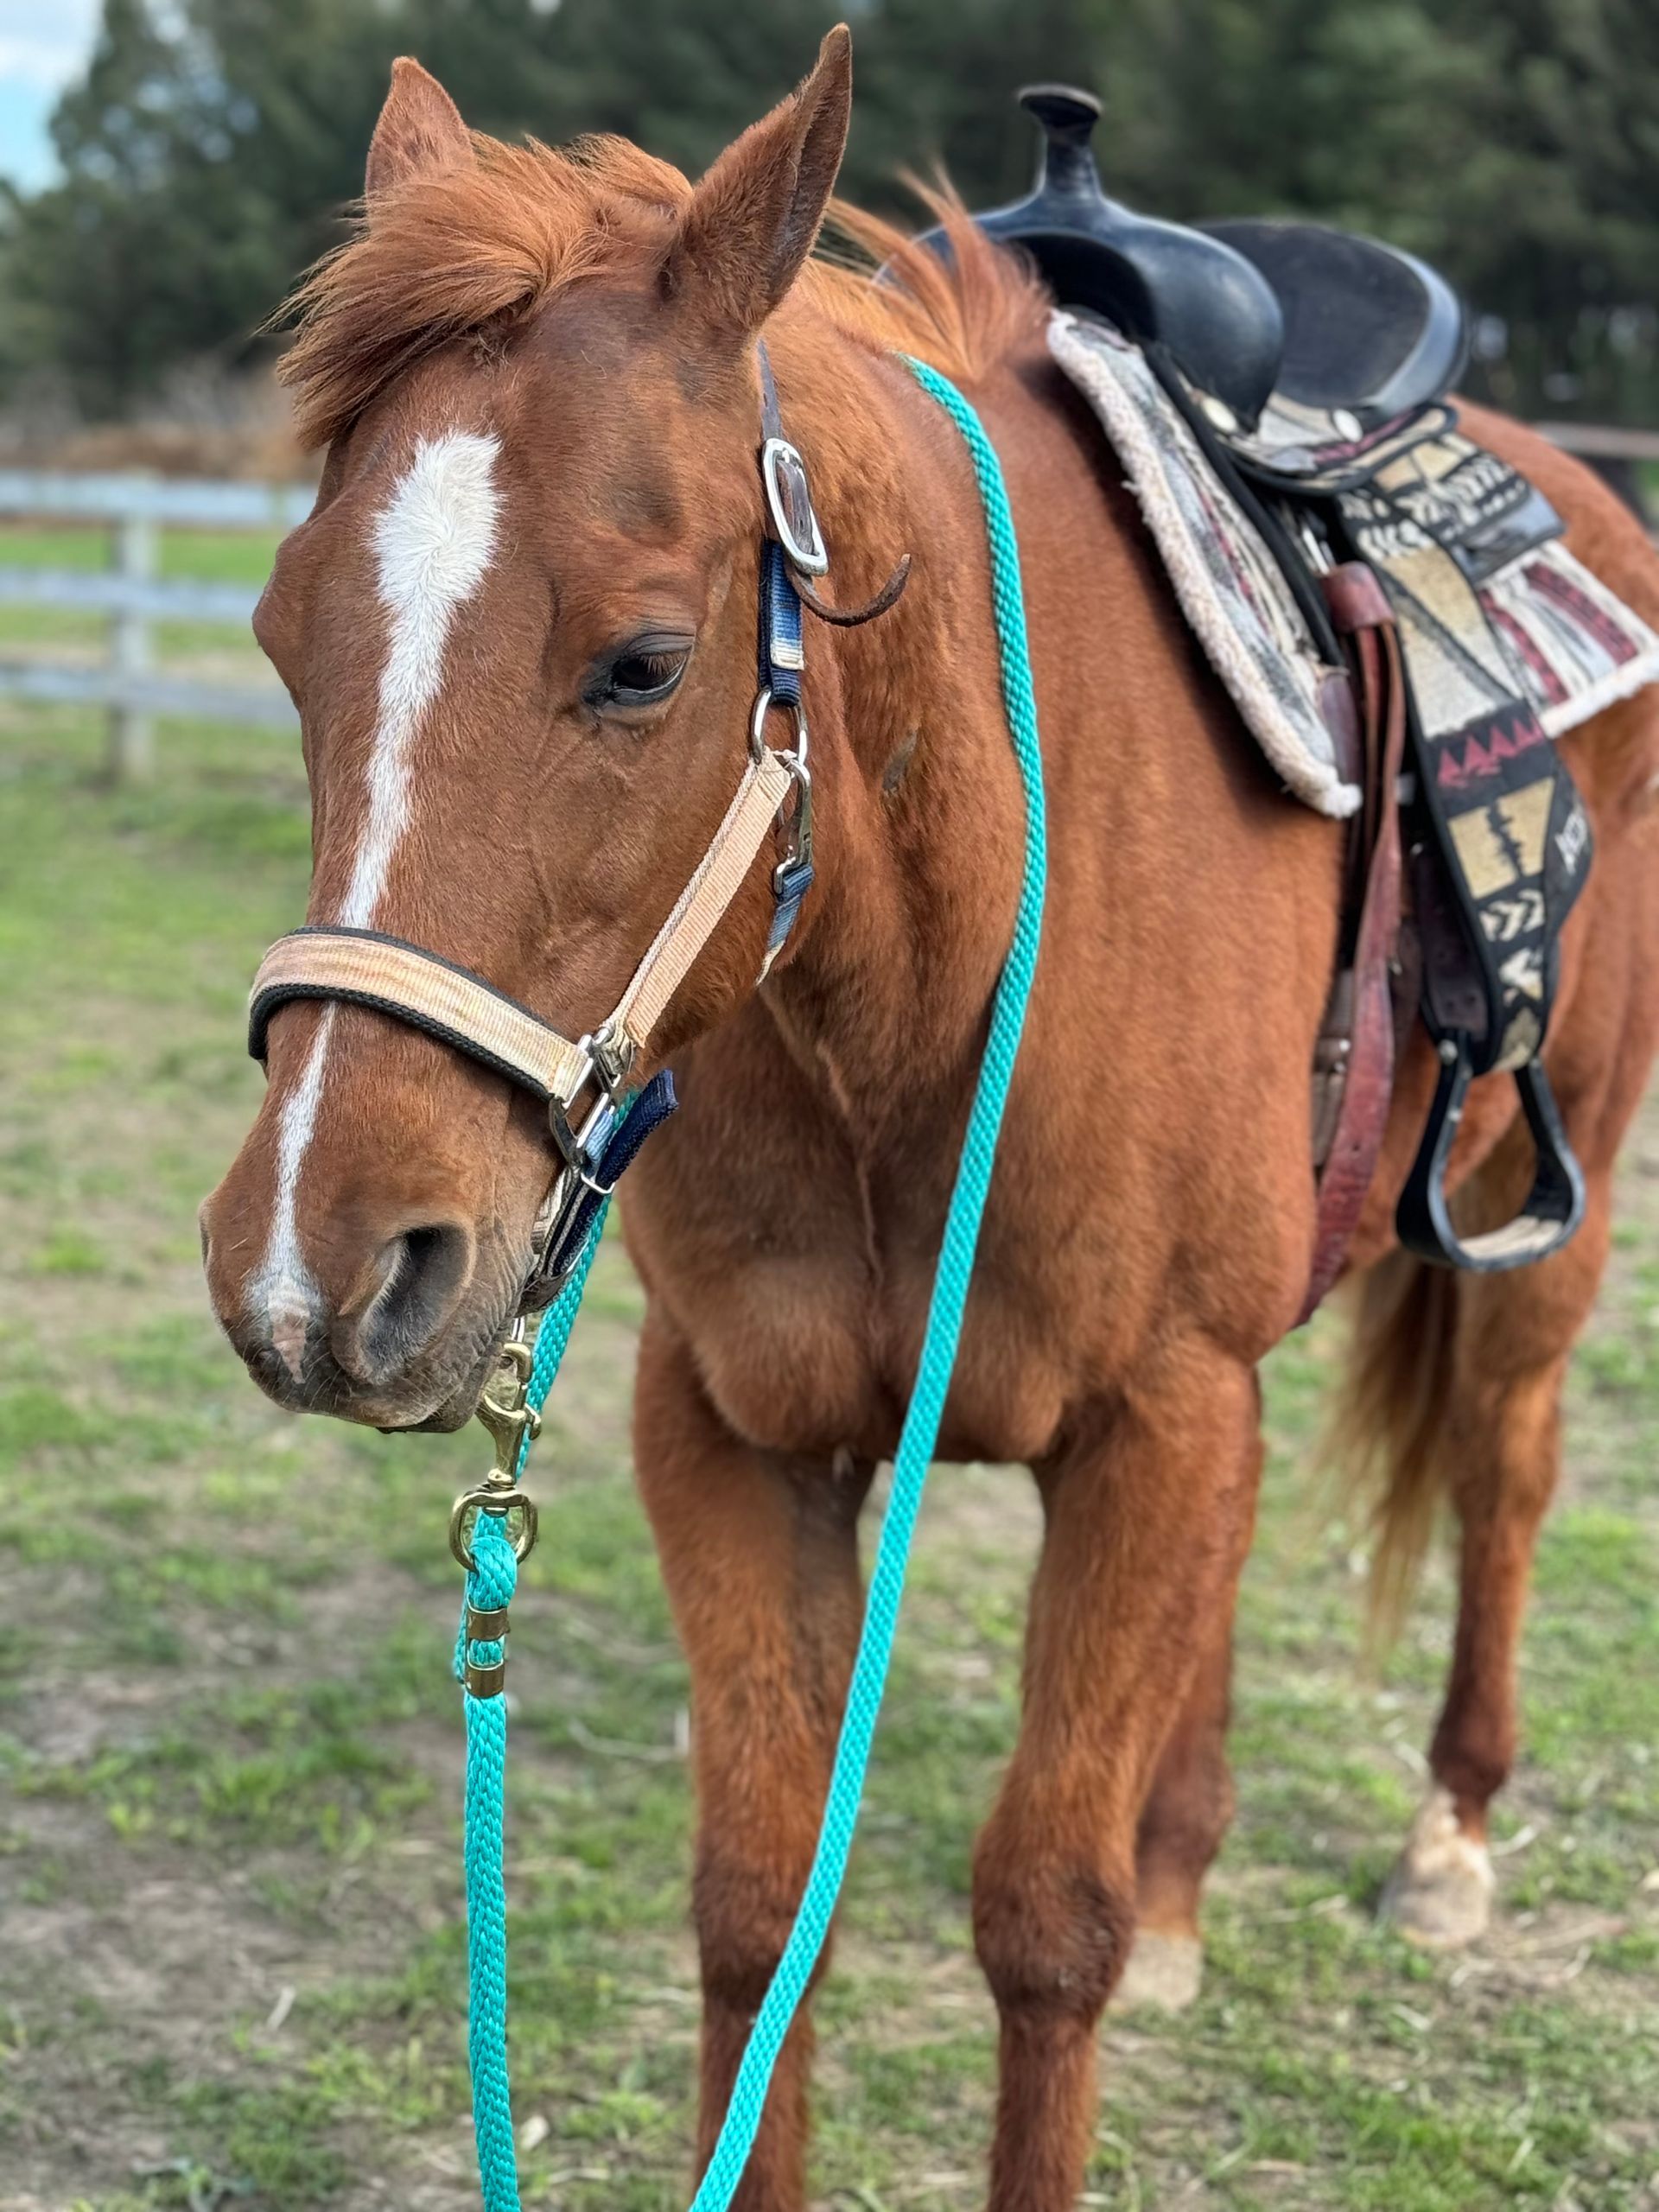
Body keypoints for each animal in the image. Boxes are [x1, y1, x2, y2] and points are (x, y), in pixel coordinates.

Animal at [200, 29, 1659, 2209]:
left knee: (1508, 1463)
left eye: (643, 660)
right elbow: (754, 1901)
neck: (912, 995)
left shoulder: (1148, 1413)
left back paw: (1452, 1833)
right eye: (290, 640)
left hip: (1532, 1212)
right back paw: (1189, 1874)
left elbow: (1041, 1921)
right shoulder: (739, 1432)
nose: (317, 1269)